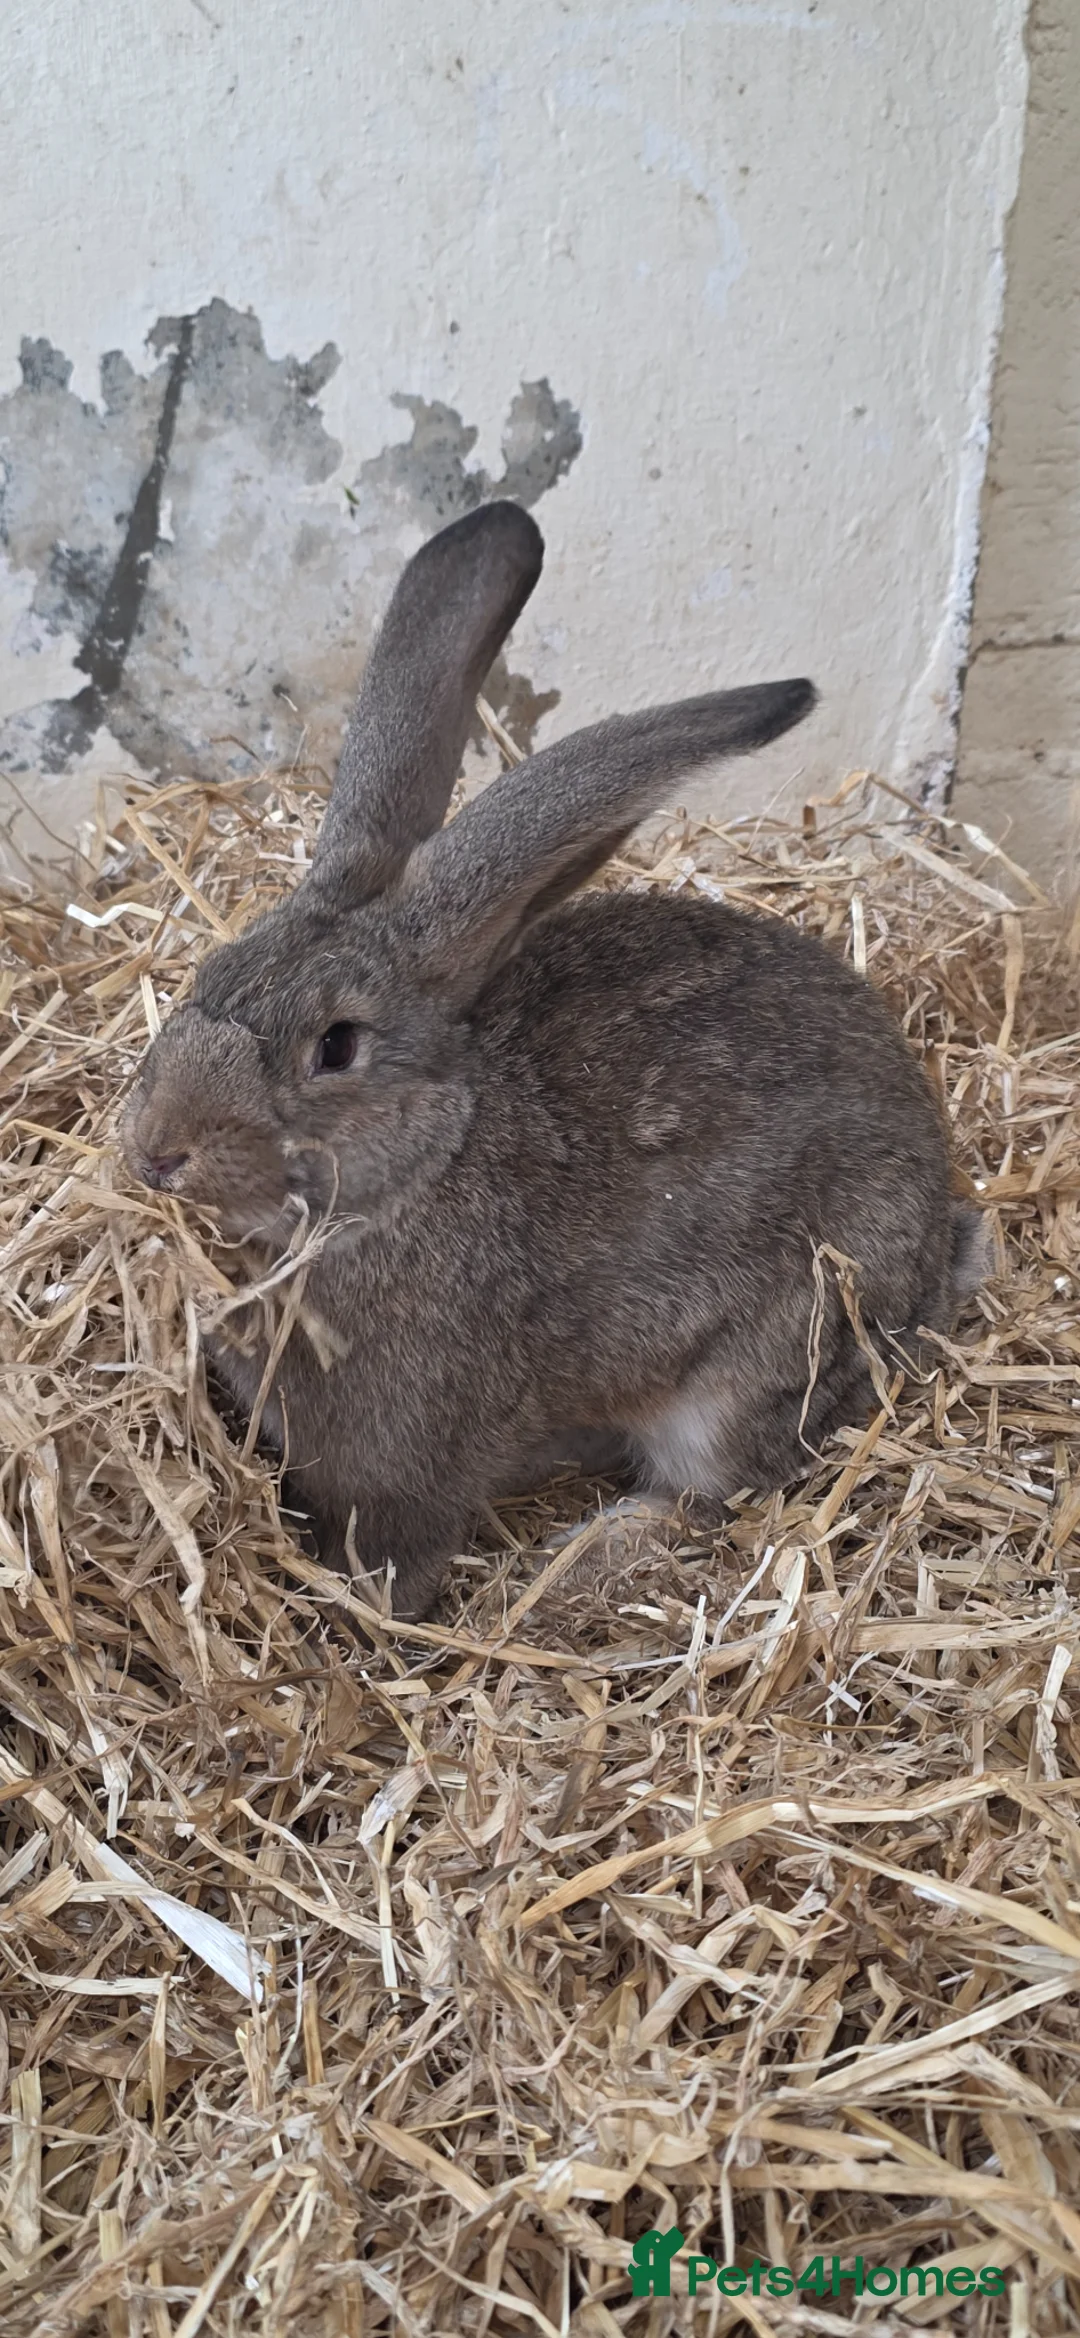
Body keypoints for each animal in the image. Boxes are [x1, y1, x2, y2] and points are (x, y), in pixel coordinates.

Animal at [122, 500, 985, 1619]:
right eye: (208, 972)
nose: (156, 1148)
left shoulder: (403, 1468)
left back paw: (583, 1557)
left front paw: (378, 1615)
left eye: (336, 1046)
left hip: (758, 1365)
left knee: (710, 1497)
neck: (419, 1174)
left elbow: (396, 1556)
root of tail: (937, 1246)